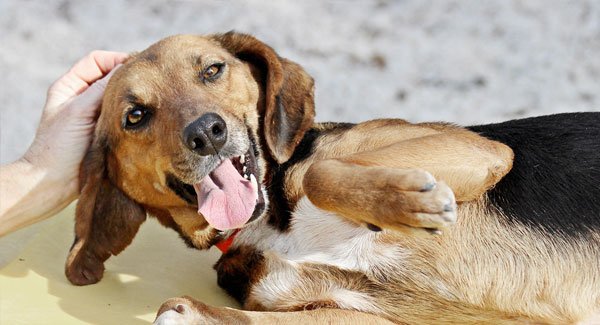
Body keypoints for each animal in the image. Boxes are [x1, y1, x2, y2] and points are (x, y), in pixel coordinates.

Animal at [65, 31, 600, 322]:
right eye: (135, 116)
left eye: (212, 70)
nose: (207, 133)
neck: (269, 221)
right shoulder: (367, 318)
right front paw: (187, 313)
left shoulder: (481, 149)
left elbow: (320, 173)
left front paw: (412, 202)